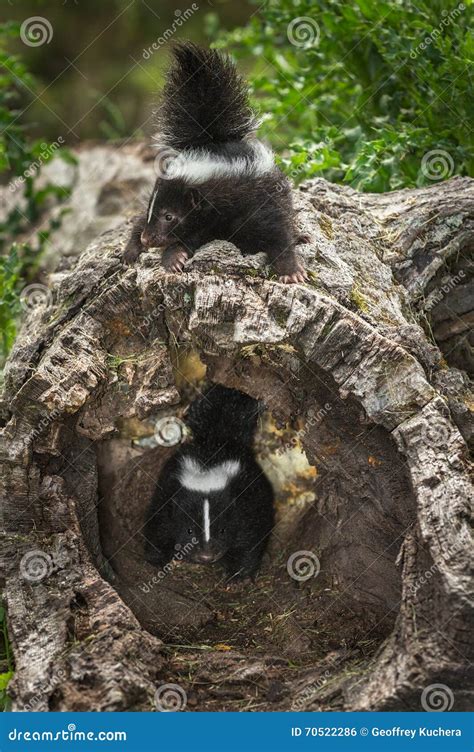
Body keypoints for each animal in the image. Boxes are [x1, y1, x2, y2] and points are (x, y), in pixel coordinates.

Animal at [124, 44, 306, 284]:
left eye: (169, 216)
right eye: (154, 211)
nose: (147, 239)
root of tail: (213, 138)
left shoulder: (257, 201)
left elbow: (278, 232)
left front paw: (291, 271)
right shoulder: (206, 220)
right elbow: (189, 237)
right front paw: (173, 257)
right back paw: (131, 249)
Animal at [143, 384, 274, 580]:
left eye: (222, 530)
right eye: (189, 530)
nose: (206, 556)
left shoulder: (246, 502)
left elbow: (250, 536)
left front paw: (238, 575)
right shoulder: (168, 491)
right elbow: (159, 524)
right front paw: (157, 559)